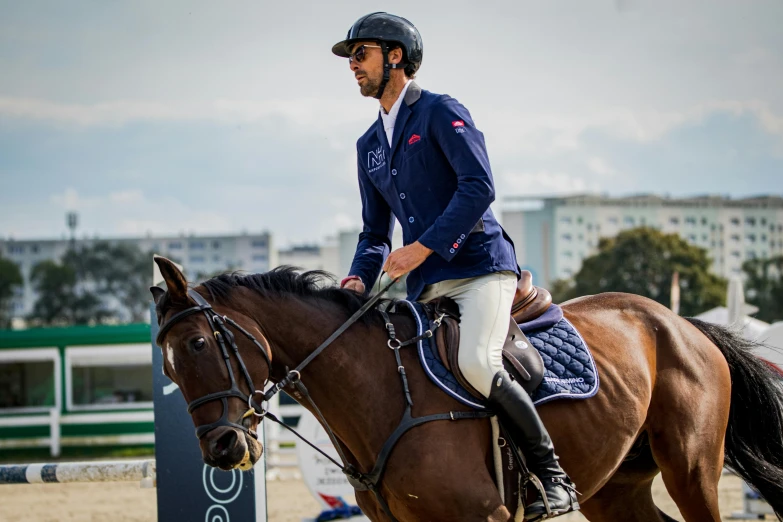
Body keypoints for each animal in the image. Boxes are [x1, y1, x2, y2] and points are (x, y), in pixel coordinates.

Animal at [152, 256, 783, 520]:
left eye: (199, 345)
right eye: (168, 370)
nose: (223, 451)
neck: (383, 394)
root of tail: (679, 323)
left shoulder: (484, 517)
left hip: (691, 470)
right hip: (614, 489)